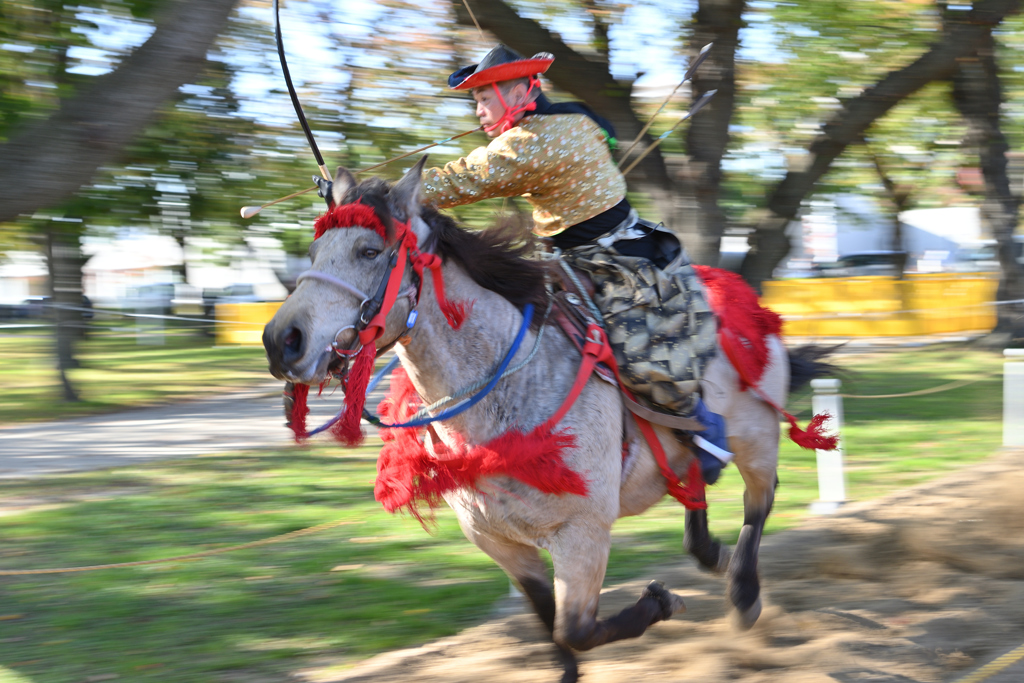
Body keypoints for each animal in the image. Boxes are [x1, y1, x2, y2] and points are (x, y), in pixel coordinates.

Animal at [264, 157, 831, 679]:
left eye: (369, 251)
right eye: (313, 254)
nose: (281, 340)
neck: (507, 392)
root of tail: (754, 306)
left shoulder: (582, 533)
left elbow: (573, 629)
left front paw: (662, 602)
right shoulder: (497, 541)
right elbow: (548, 624)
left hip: (756, 435)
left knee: (760, 499)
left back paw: (743, 592)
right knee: (697, 488)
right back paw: (711, 552)